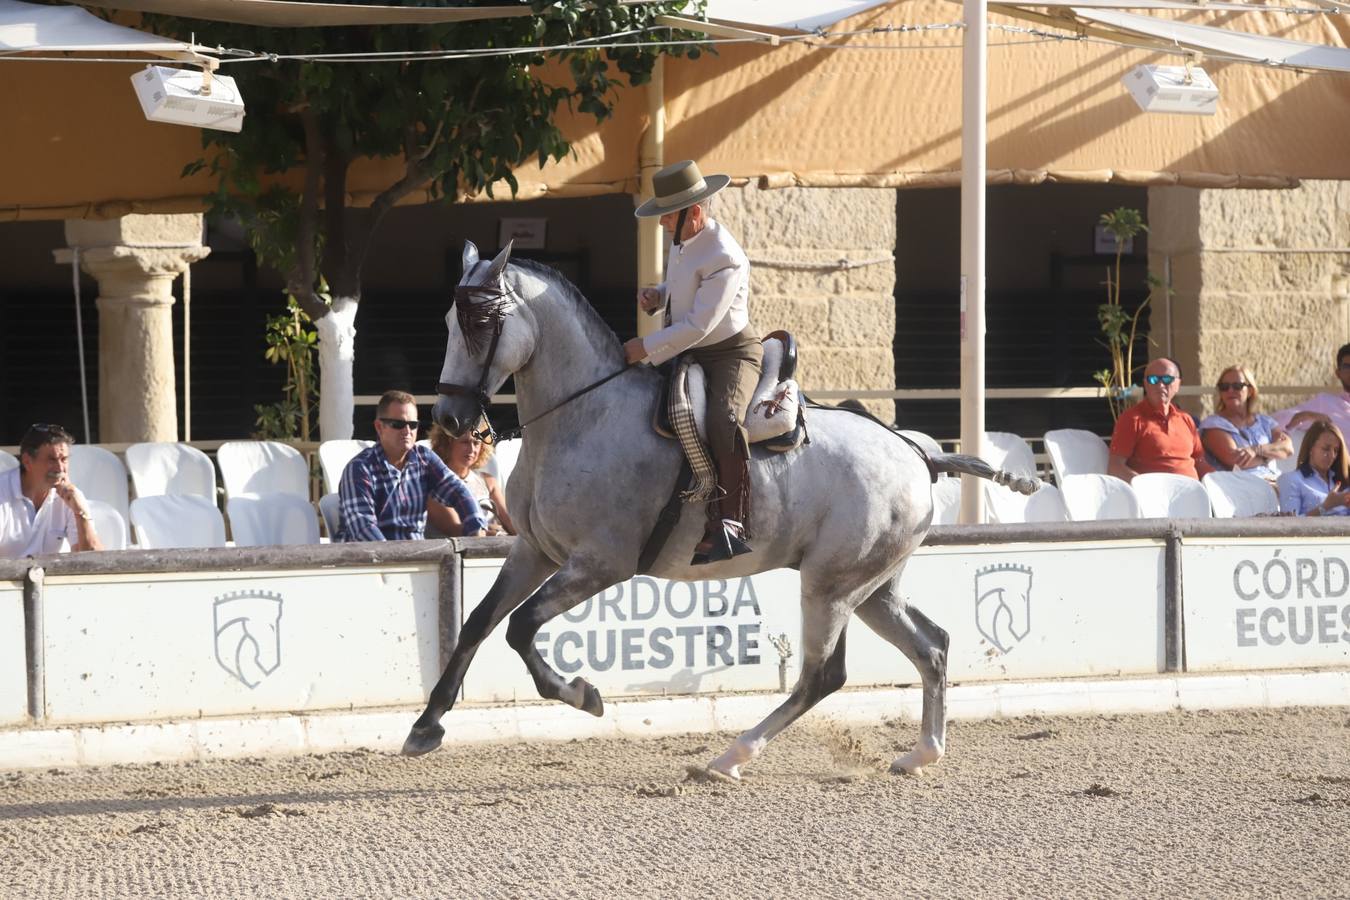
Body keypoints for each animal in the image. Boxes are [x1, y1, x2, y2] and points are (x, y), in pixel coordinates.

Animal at [399, 242, 1031, 777]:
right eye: (450, 323)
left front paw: (583, 694)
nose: (450, 419)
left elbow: (521, 627)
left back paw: (731, 757)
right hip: (872, 587)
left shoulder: (599, 565)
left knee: (823, 675)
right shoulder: (535, 551)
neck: (584, 416)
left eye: (482, 323)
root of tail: (918, 453)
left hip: (831, 587)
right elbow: (479, 622)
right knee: (931, 646)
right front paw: (426, 726)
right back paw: (921, 753)